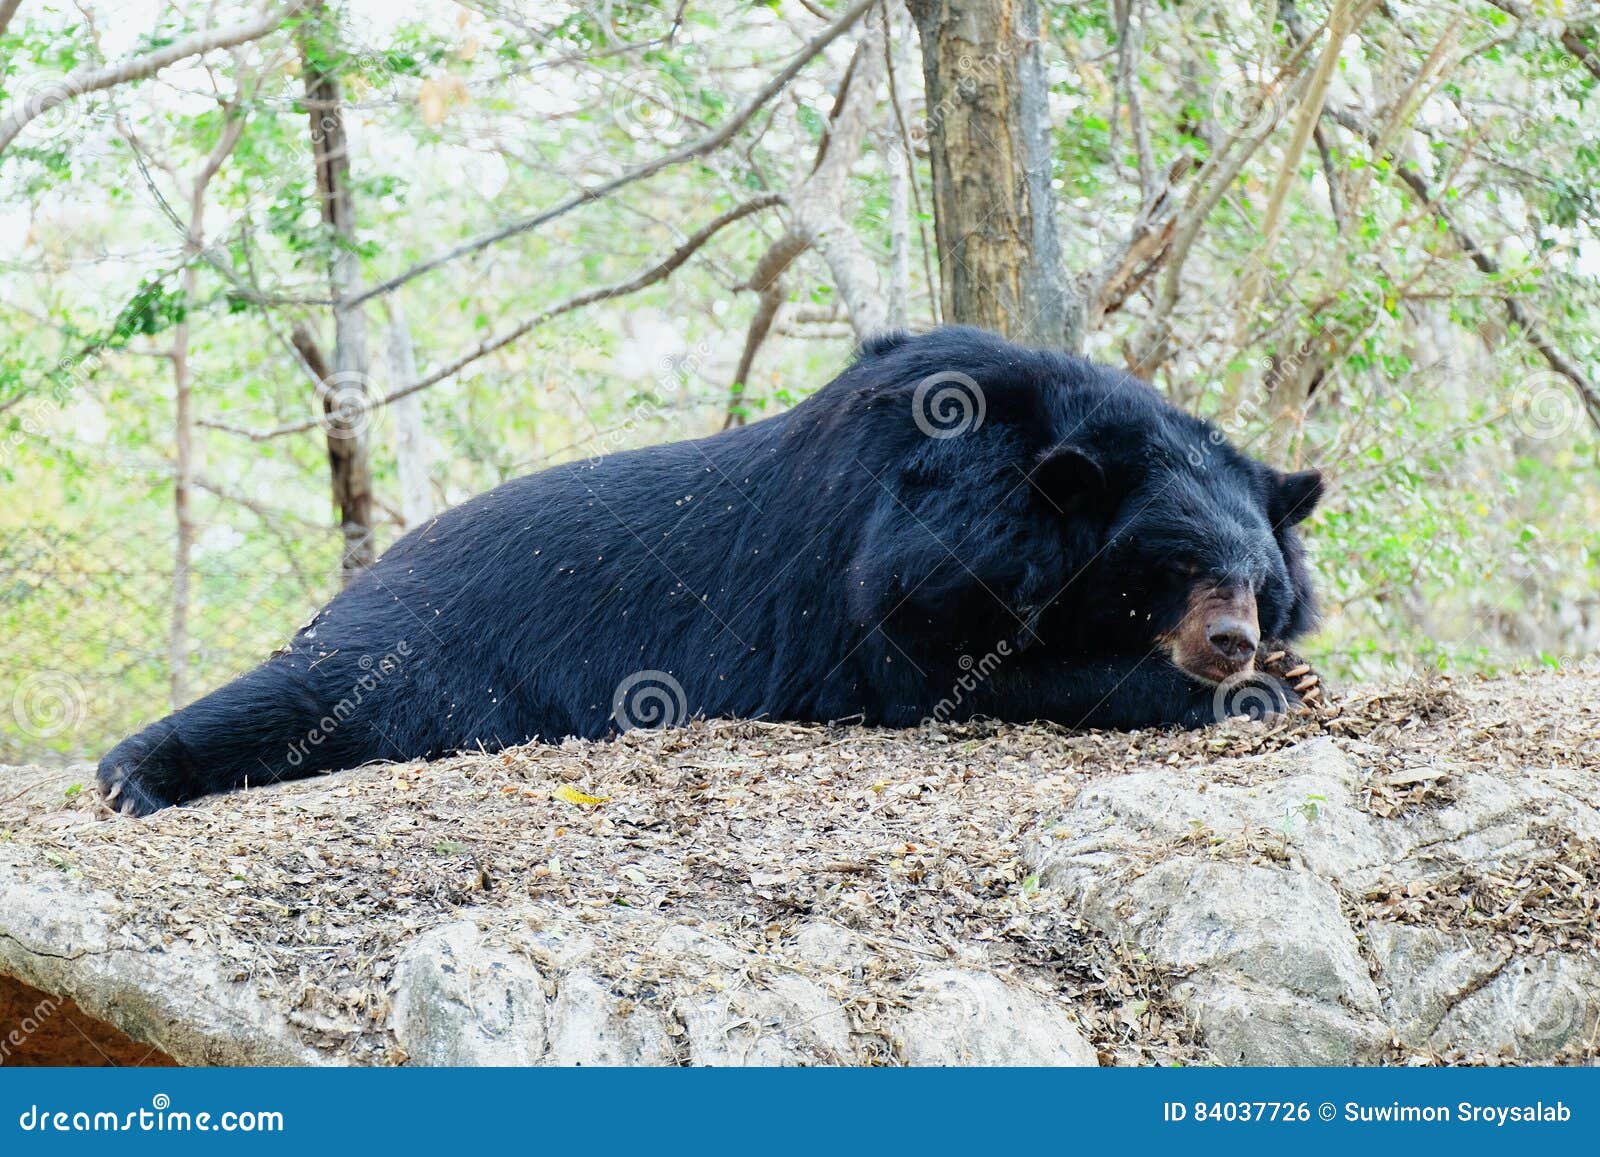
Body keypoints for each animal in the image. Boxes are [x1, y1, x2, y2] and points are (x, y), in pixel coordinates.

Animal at [98, 326, 1324, 815]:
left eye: (1258, 579)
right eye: (1169, 566)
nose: (1231, 641)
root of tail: (376, 563)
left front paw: (1292, 672)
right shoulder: (904, 566)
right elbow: (966, 673)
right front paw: (1255, 691)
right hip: (418, 645)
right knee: (306, 691)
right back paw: (132, 774)